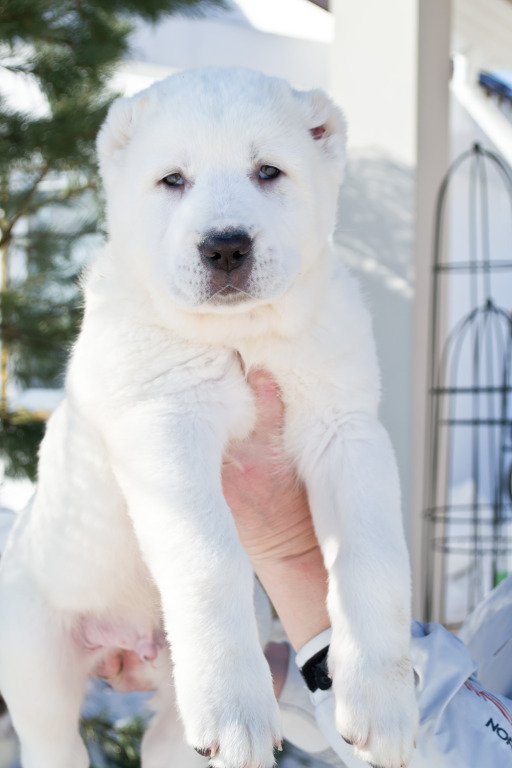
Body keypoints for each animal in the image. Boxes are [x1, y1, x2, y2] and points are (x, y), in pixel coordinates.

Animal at [0, 67, 416, 768]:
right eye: (173, 180)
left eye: (268, 171)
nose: (225, 248)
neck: (239, 335)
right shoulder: (166, 430)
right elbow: (209, 555)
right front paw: (235, 709)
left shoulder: (346, 429)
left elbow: (376, 557)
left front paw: (385, 705)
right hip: (36, 664)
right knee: (52, 738)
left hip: (167, 717)